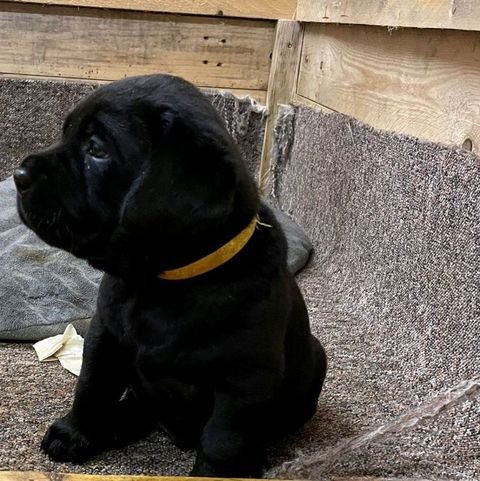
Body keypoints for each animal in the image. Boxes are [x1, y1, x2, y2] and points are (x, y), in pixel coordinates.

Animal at [14, 75, 326, 476]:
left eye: (96, 149)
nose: (19, 175)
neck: (163, 283)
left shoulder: (245, 379)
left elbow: (223, 439)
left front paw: (214, 475)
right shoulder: (105, 334)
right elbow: (91, 387)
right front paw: (73, 432)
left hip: (316, 359)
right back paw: (117, 423)